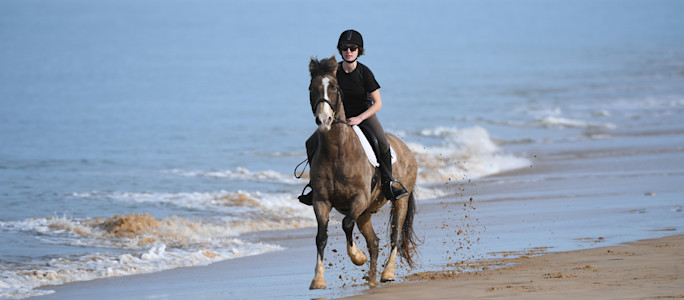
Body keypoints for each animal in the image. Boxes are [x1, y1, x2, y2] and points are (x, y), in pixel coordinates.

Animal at [308, 55, 420, 288]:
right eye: (312, 88)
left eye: (334, 87)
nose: (324, 121)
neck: (337, 153)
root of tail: (406, 149)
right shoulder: (321, 201)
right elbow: (321, 236)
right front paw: (318, 279)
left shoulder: (359, 198)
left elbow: (345, 223)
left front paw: (357, 257)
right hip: (366, 212)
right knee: (374, 242)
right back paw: (372, 279)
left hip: (399, 201)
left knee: (395, 237)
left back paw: (387, 273)